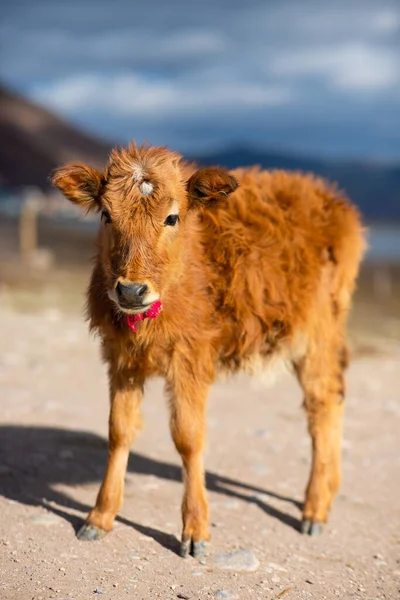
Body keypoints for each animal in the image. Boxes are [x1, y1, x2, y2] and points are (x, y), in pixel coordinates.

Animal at [53, 142, 366, 556]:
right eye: (106, 214)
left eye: (172, 217)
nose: (132, 291)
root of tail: (330, 198)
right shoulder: (122, 360)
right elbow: (118, 431)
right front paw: (99, 517)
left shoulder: (191, 359)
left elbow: (188, 437)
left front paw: (195, 529)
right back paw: (328, 493)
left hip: (317, 336)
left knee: (322, 407)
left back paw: (314, 509)